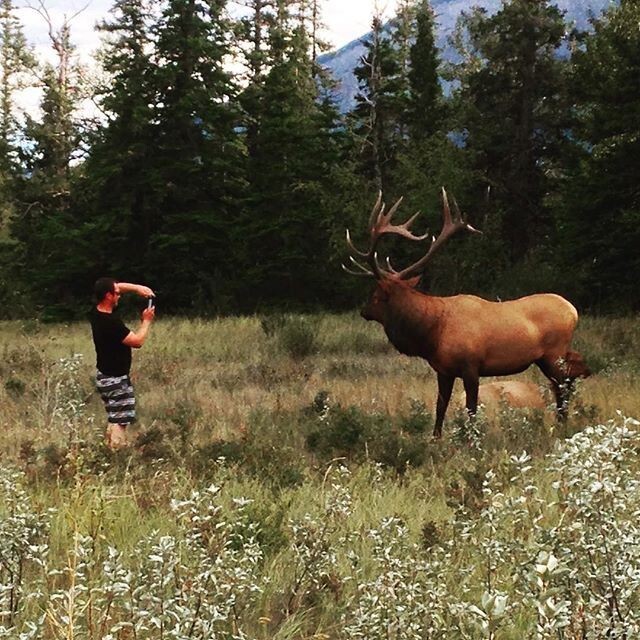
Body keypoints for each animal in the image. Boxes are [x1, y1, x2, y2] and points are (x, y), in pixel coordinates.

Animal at [344, 190, 592, 438]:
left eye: (376, 296)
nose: (363, 311)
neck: (432, 333)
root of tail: (573, 310)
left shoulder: (471, 366)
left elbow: (471, 409)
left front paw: (472, 440)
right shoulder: (443, 369)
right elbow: (440, 406)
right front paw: (436, 438)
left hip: (554, 353)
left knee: (563, 388)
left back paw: (561, 425)